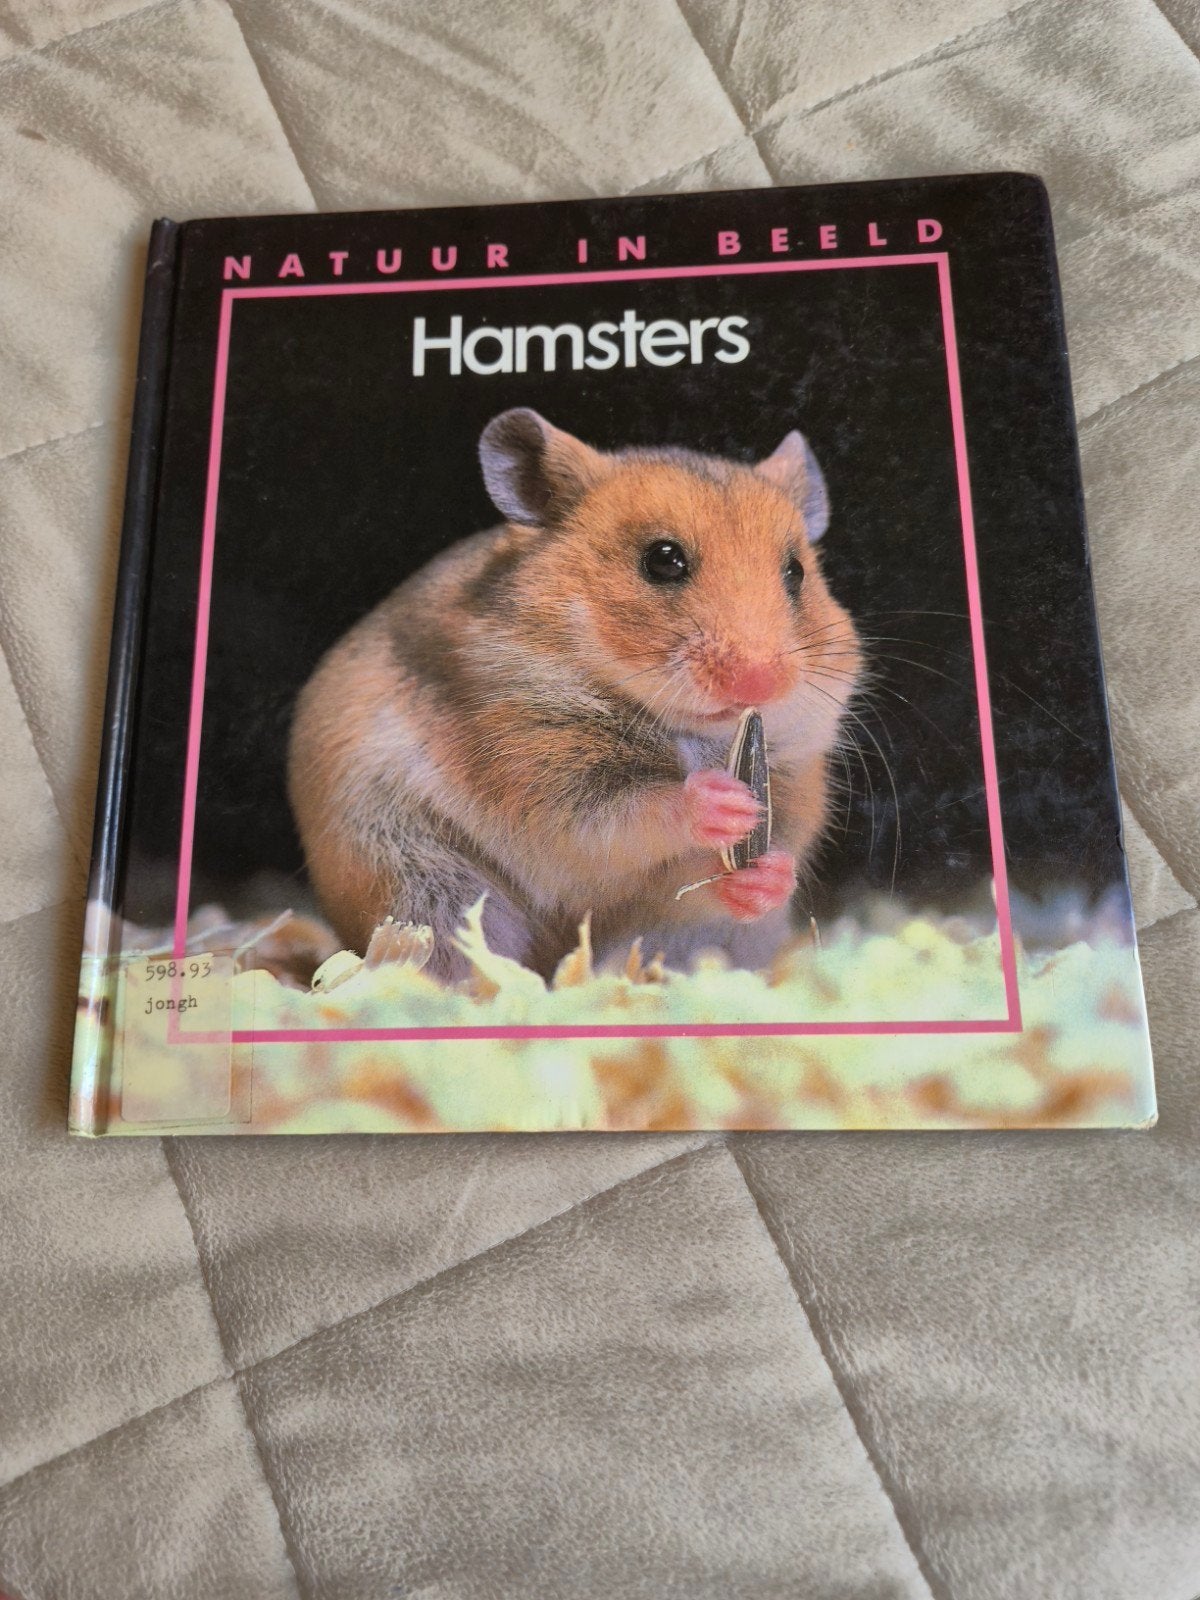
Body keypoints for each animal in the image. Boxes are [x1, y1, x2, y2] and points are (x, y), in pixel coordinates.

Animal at [288, 409, 864, 980]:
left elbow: (700, 880)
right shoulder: (537, 768)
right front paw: (724, 801)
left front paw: (766, 874)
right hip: (419, 879)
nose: (760, 682)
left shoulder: (793, 783)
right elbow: (625, 814)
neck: (690, 733)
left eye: (796, 571)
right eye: (663, 560)